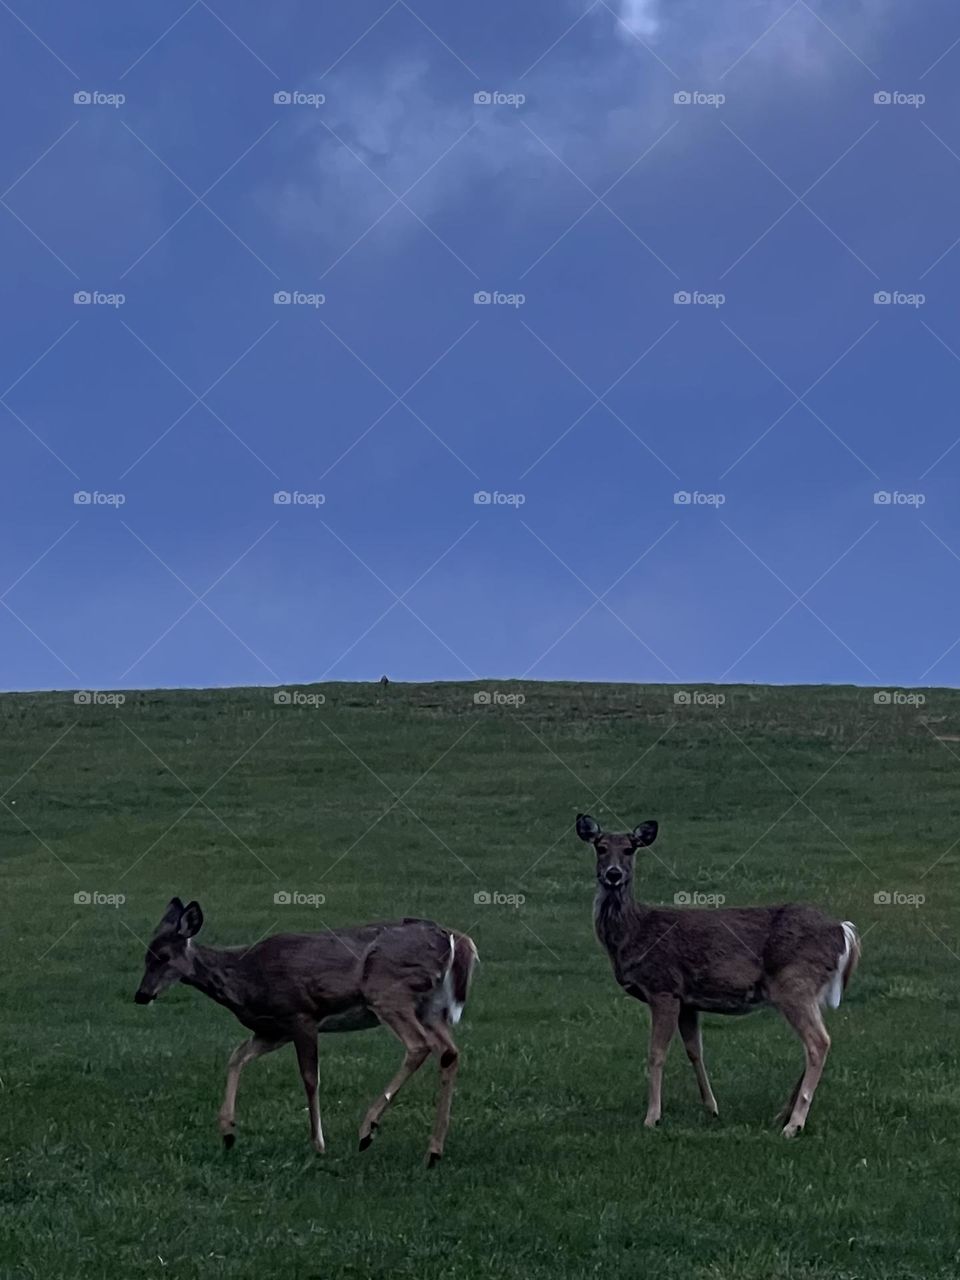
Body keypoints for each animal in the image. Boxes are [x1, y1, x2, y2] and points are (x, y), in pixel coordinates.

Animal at [133, 898, 478, 1165]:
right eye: (145, 956)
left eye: (163, 957)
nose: (141, 995)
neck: (244, 977)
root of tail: (454, 939)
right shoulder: (274, 1030)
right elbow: (236, 1056)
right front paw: (228, 1132)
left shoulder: (301, 1015)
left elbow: (311, 1079)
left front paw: (318, 1144)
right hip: (430, 1007)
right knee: (450, 1053)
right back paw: (433, 1152)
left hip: (389, 991)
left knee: (419, 1045)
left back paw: (367, 1130)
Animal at [575, 814, 859, 1137]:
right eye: (600, 847)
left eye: (629, 848)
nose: (613, 874)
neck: (634, 933)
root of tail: (843, 930)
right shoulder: (687, 1000)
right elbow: (694, 1051)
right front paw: (711, 1108)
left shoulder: (663, 987)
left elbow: (656, 1054)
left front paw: (652, 1117)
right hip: (807, 990)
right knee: (821, 1040)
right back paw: (782, 1115)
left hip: (794, 982)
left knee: (817, 1042)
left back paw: (794, 1124)